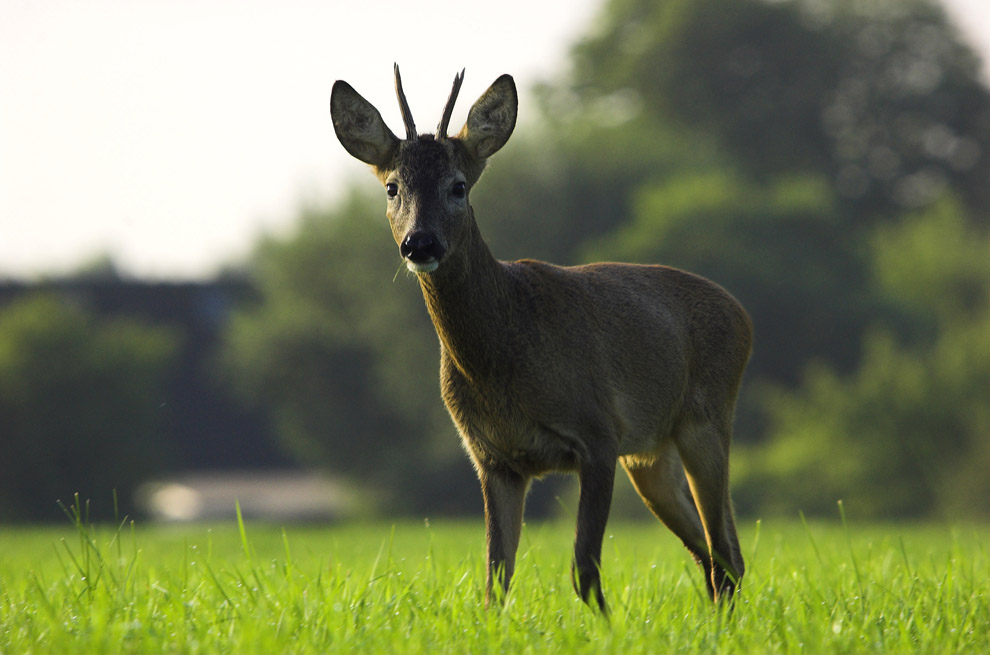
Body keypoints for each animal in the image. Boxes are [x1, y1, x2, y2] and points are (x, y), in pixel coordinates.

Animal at [330, 66, 756, 616]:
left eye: (458, 186)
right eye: (391, 187)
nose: (419, 243)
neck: (501, 360)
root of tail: (741, 312)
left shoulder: (598, 435)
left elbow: (584, 570)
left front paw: (607, 627)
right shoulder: (495, 460)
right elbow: (496, 582)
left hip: (707, 418)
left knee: (726, 550)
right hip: (649, 455)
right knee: (715, 553)